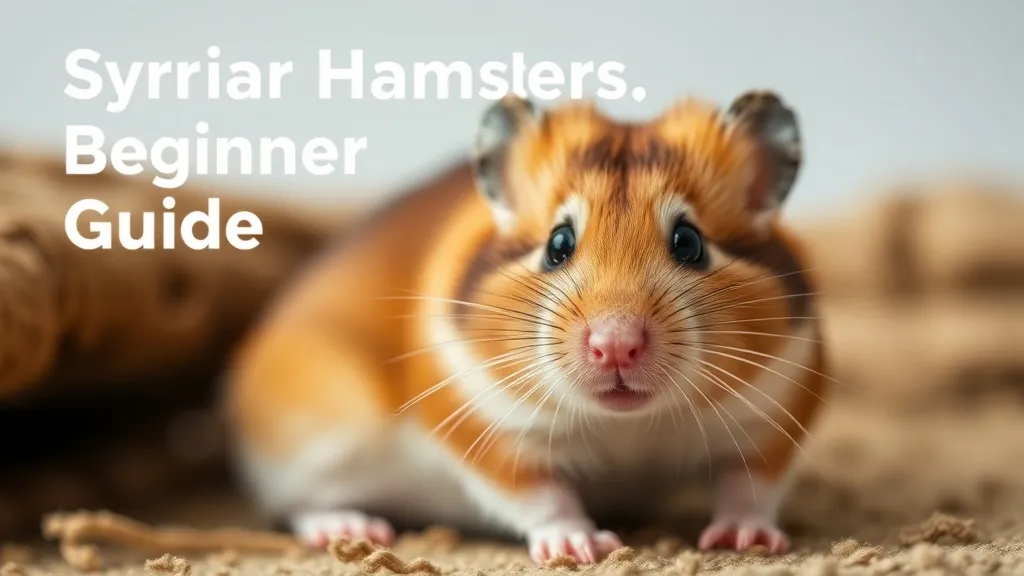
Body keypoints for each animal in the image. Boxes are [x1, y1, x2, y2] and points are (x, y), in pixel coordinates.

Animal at [222, 90, 828, 565]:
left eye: (690, 242)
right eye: (558, 244)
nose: (615, 348)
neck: (627, 425)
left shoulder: (774, 415)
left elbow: (750, 486)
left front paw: (747, 542)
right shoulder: (488, 433)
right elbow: (544, 496)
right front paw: (583, 548)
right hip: (320, 433)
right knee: (298, 504)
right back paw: (354, 528)